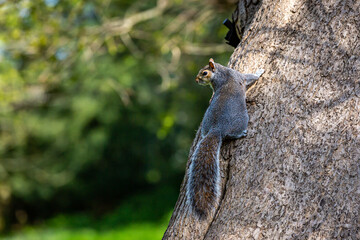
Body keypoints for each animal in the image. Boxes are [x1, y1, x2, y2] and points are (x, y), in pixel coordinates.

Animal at [186, 58, 264, 219]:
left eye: (204, 72)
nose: (196, 80)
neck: (221, 75)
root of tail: (216, 130)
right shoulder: (240, 76)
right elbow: (251, 76)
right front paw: (260, 71)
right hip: (242, 120)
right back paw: (241, 134)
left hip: (205, 126)